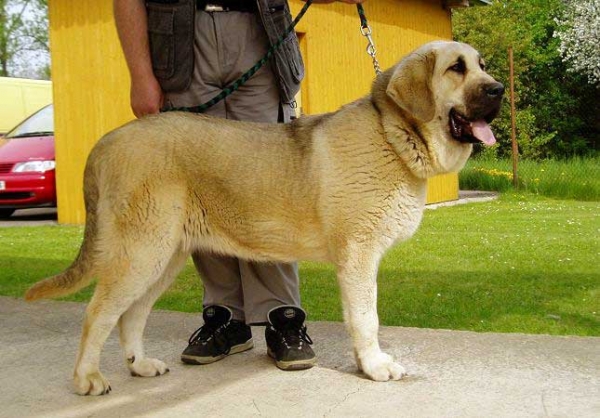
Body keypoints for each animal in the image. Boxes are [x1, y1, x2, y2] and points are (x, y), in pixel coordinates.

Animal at [28, 41, 506, 396]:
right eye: (456, 68)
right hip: (141, 253)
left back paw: (140, 365)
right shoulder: (358, 255)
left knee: (131, 314)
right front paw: (374, 366)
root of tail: (106, 141)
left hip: (164, 257)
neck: (393, 136)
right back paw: (87, 379)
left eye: (482, 66)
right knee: (97, 313)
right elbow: (366, 317)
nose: (499, 89)